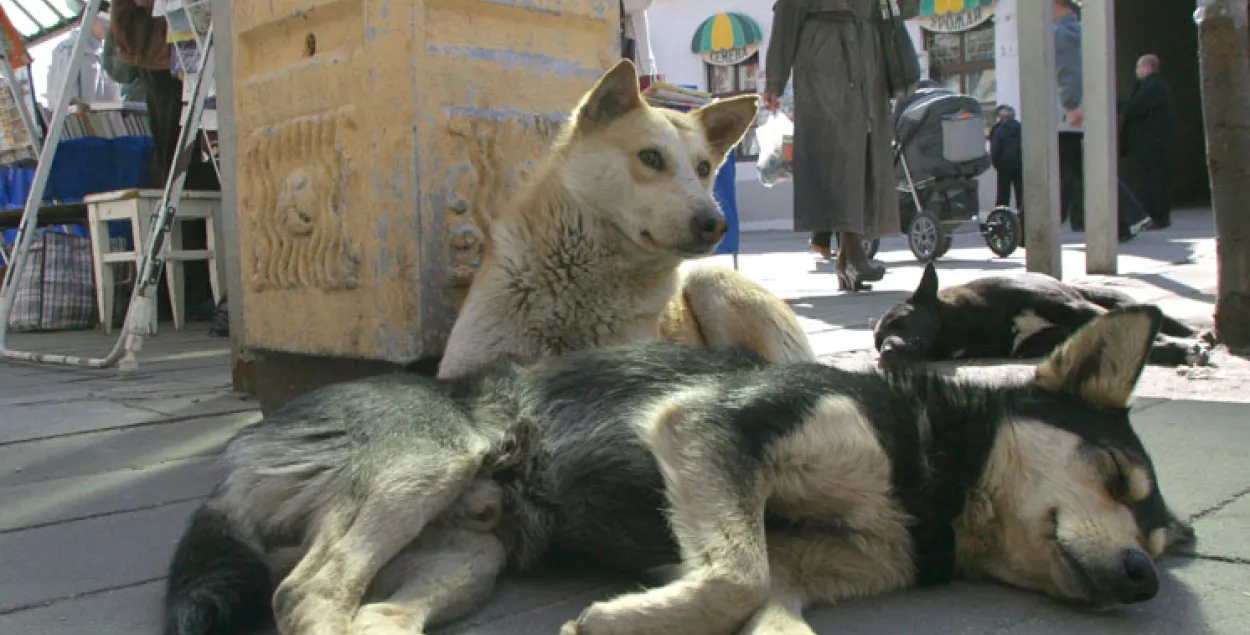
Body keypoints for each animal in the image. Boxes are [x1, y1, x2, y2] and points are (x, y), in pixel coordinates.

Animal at [166, 305, 1190, 635]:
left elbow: (756, 595)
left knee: (368, 607)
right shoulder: (711, 428)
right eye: (1113, 476)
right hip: (428, 463)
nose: (1143, 575)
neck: (927, 484)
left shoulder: (795, 572)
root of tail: (230, 462)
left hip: (465, 553)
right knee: (305, 593)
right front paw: (616, 619)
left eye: (1163, 537)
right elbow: (732, 571)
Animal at [875, 262, 1215, 370]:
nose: (884, 352)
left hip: (1115, 299)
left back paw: (1198, 335)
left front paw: (1184, 347)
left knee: (1166, 321)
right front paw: (1178, 352)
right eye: (877, 341)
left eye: (898, 322)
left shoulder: (1075, 309)